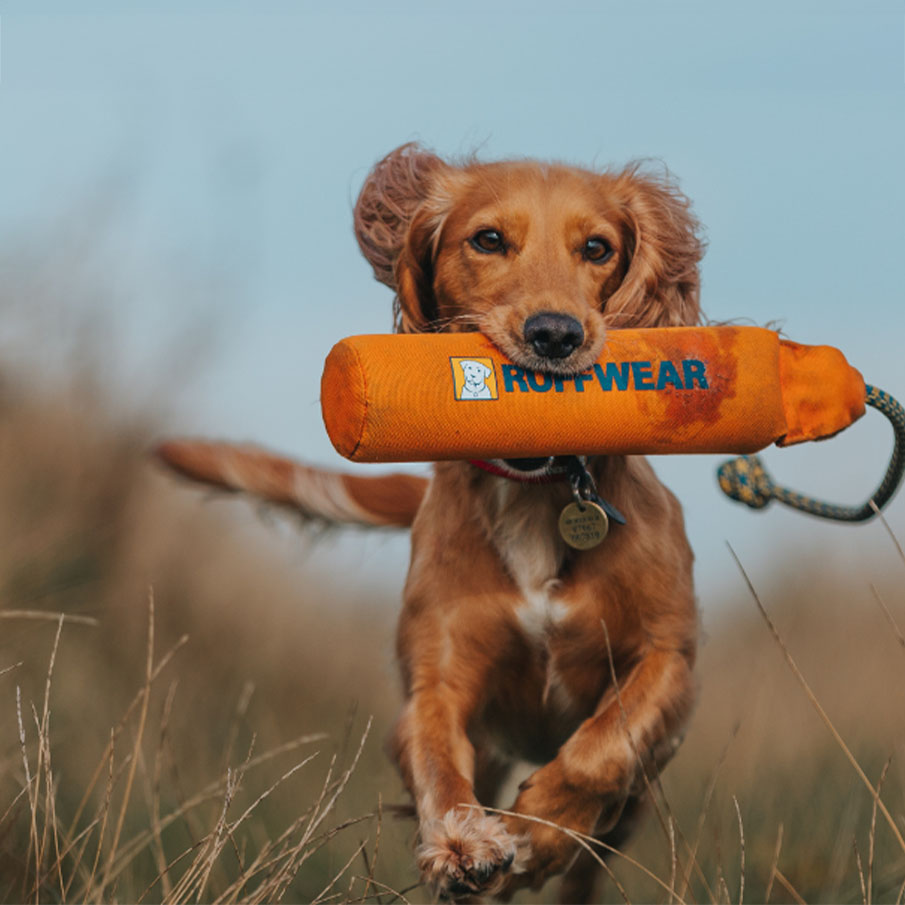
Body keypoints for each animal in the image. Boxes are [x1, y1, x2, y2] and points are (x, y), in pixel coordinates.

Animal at [159, 145, 704, 900]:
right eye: (488, 239)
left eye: (597, 248)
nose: (555, 335)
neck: (536, 495)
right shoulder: (436, 678)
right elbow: (438, 760)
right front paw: (463, 840)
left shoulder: (669, 658)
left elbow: (604, 745)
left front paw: (540, 827)